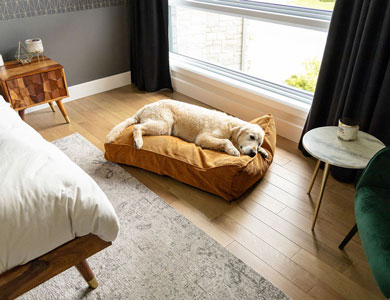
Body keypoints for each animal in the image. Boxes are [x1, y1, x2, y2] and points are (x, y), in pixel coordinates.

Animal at [105, 99, 266, 158]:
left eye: (259, 143)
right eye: (251, 137)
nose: (253, 153)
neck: (231, 126)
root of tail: (145, 106)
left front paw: (263, 151)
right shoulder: (203, 138)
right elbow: (226, 141)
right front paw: (232, 149)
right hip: (164, 125)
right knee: (137, 127)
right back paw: (138, 142)